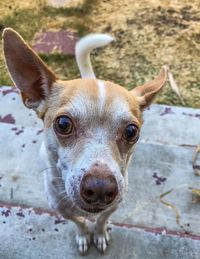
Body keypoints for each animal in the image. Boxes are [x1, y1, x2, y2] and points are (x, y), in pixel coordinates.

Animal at [3, 28, 168, 256]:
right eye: (63, 124)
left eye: (131, 131)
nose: (100, 188)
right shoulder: (62, 209)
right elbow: (80, 222)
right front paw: (83, 236)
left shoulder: (113, 206)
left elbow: (101, 221)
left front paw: (99, 235)